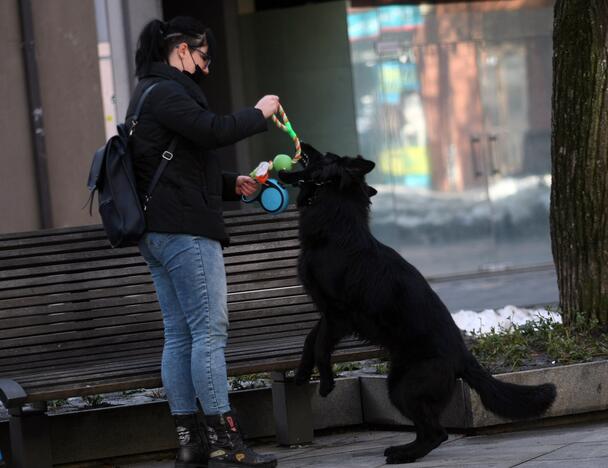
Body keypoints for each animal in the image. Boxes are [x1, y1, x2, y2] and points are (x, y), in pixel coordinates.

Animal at [280, 144, 556, 466]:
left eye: (325, 155)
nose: (306, 145)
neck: (336, 227)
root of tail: (464, 358)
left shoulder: (338, 316)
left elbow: (322, 346)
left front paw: (325, 382)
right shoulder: (326, 313)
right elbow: (310, 341)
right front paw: (301, 373)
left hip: (403, 389)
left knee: (437, 433)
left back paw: (404, 455)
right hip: (399, 383)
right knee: (431, 432)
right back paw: (404, 451)